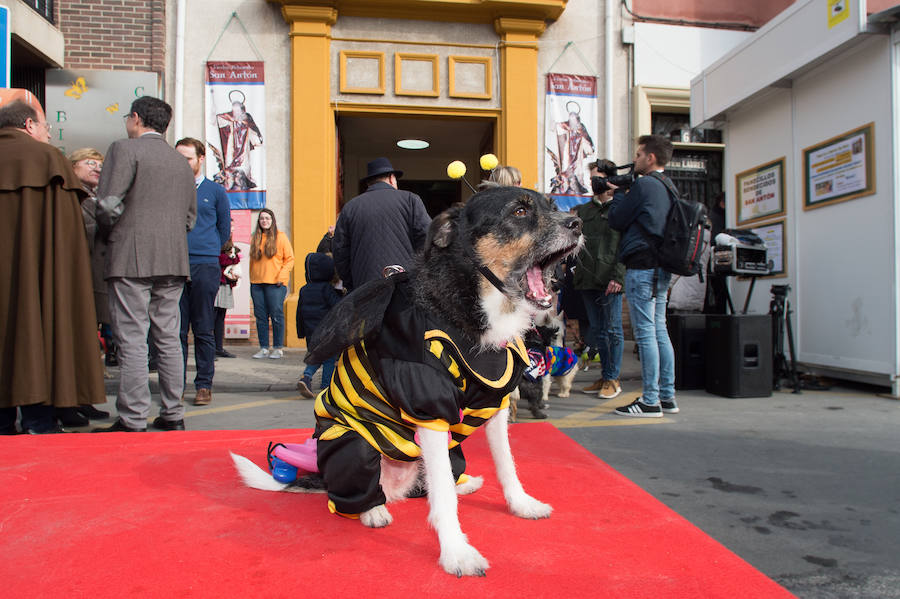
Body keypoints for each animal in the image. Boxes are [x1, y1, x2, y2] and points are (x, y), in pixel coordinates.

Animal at [232, 188, 584, 576]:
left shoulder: (496, 401)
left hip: (451, 451)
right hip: (355, 447)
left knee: (434, 481)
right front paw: (456, 552)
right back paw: (373, 510)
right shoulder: (429, 403)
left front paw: (521, 504)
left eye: (553, 205)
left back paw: (462, 484)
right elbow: (443, 496)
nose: (578, 223)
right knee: (364, 494)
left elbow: (507, 463)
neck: (475, 305)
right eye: (519, 211)